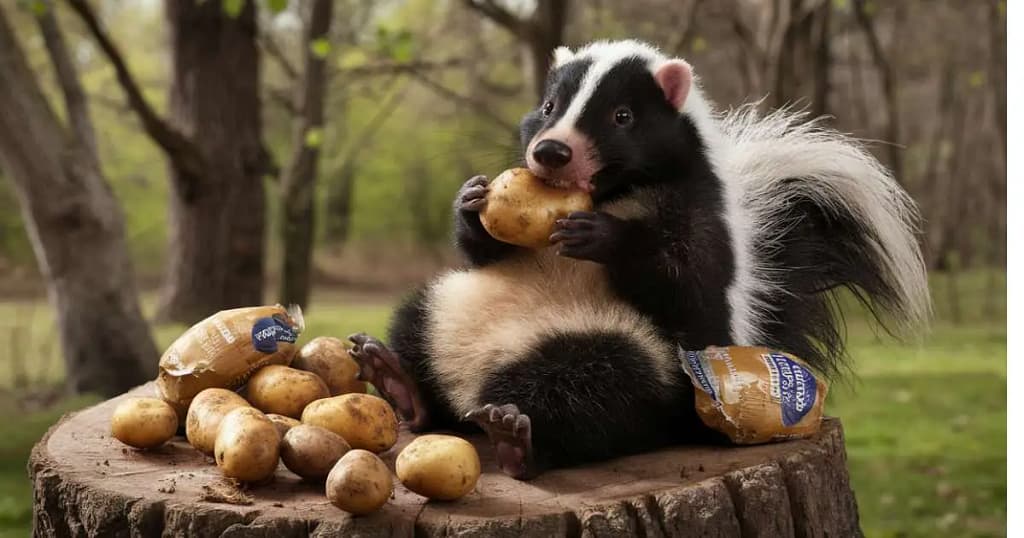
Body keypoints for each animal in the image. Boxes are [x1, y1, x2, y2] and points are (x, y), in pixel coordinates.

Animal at [348, 39, 933, 479]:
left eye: (622, 116)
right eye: (549, 107)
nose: (550, 151)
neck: (616, 191)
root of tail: (471, 393)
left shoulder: (701, 210)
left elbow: (690, 281)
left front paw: (603, 236)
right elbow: (482, 250)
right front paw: (470, 200)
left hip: (635, 356)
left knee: (593, 393)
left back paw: (518, 439)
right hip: (450, 305)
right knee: (417, 326)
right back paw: (399, 382)